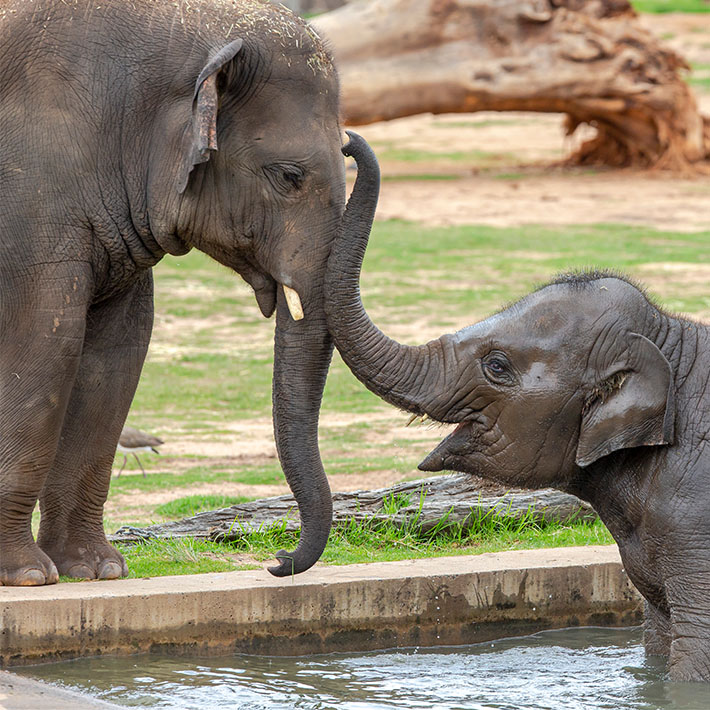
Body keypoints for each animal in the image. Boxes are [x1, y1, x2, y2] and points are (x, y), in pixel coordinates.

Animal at [0, 0, 349, 585]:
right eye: (288, 176)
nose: (278, 561)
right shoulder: (32, 191)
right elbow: (46, 342)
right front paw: (27, 577)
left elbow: (116, 355)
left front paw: (97, 571)